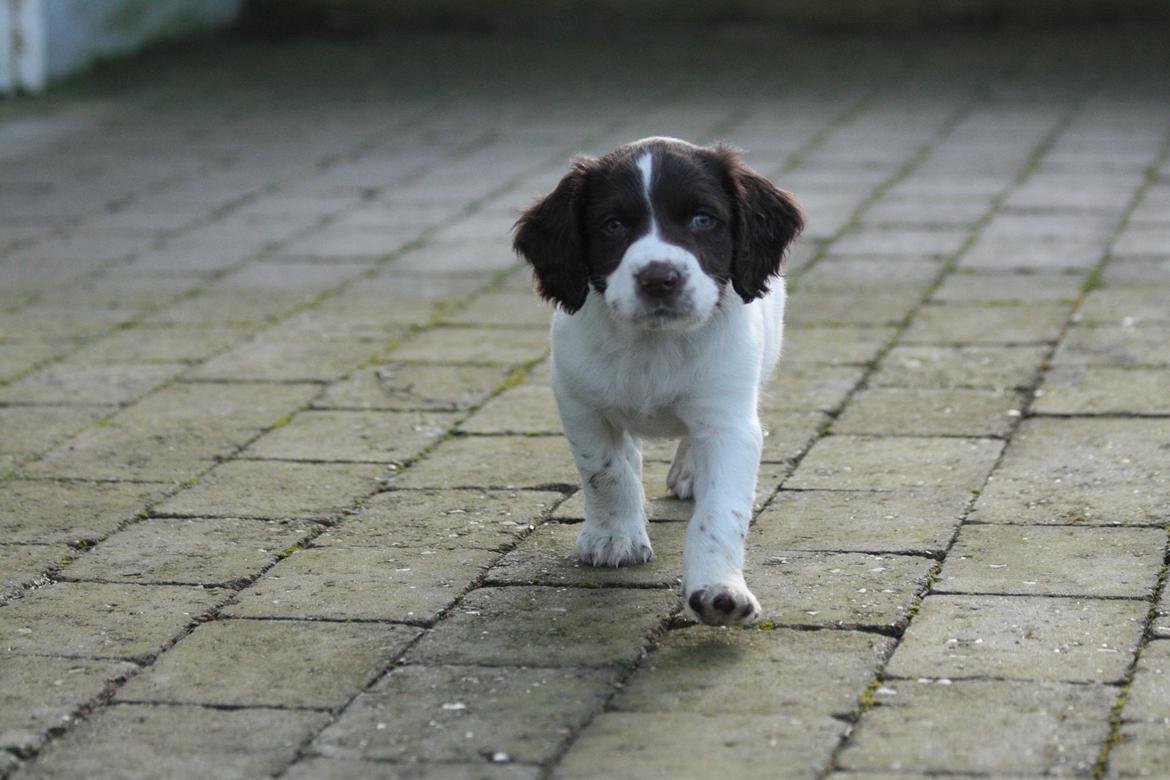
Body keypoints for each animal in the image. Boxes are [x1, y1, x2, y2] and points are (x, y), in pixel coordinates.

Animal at [514, 135, 804, 626]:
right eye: (612, 226)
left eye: (703, 220)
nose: (659, 278)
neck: (654, 344)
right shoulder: (578, 402)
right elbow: (605, 471)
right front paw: (614, 536)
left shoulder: (729, 422)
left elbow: (720, 511)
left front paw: (720, 590)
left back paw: (689, 471)